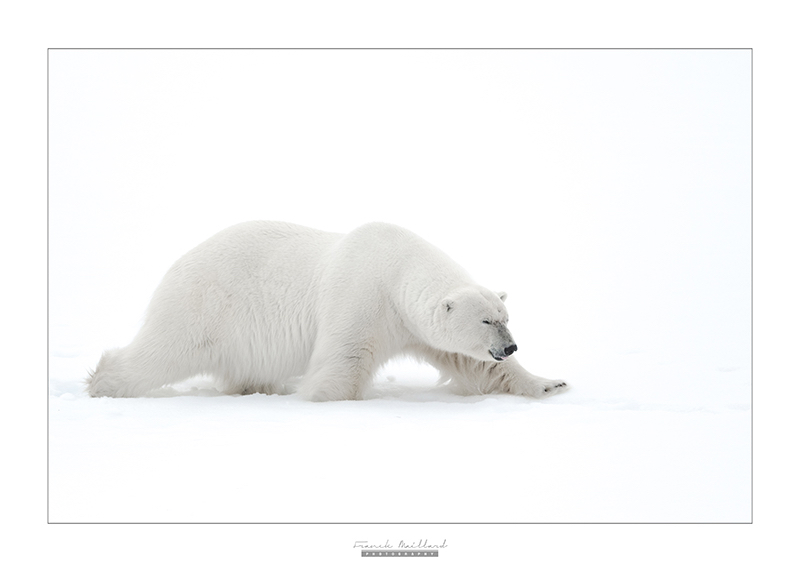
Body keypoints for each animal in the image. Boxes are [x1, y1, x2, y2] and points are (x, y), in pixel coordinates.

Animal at [86, 221, 569, 401]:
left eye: (505, 318)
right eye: (486, 320)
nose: (510, 346)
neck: (396, 266)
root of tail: (177, 265)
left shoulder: (411, 322)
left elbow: (471, 363)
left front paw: (550, 382)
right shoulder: (362, 296)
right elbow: (345, 357)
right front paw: (320, 396)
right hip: (205, 308)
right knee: (164, 351)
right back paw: (102, 382)